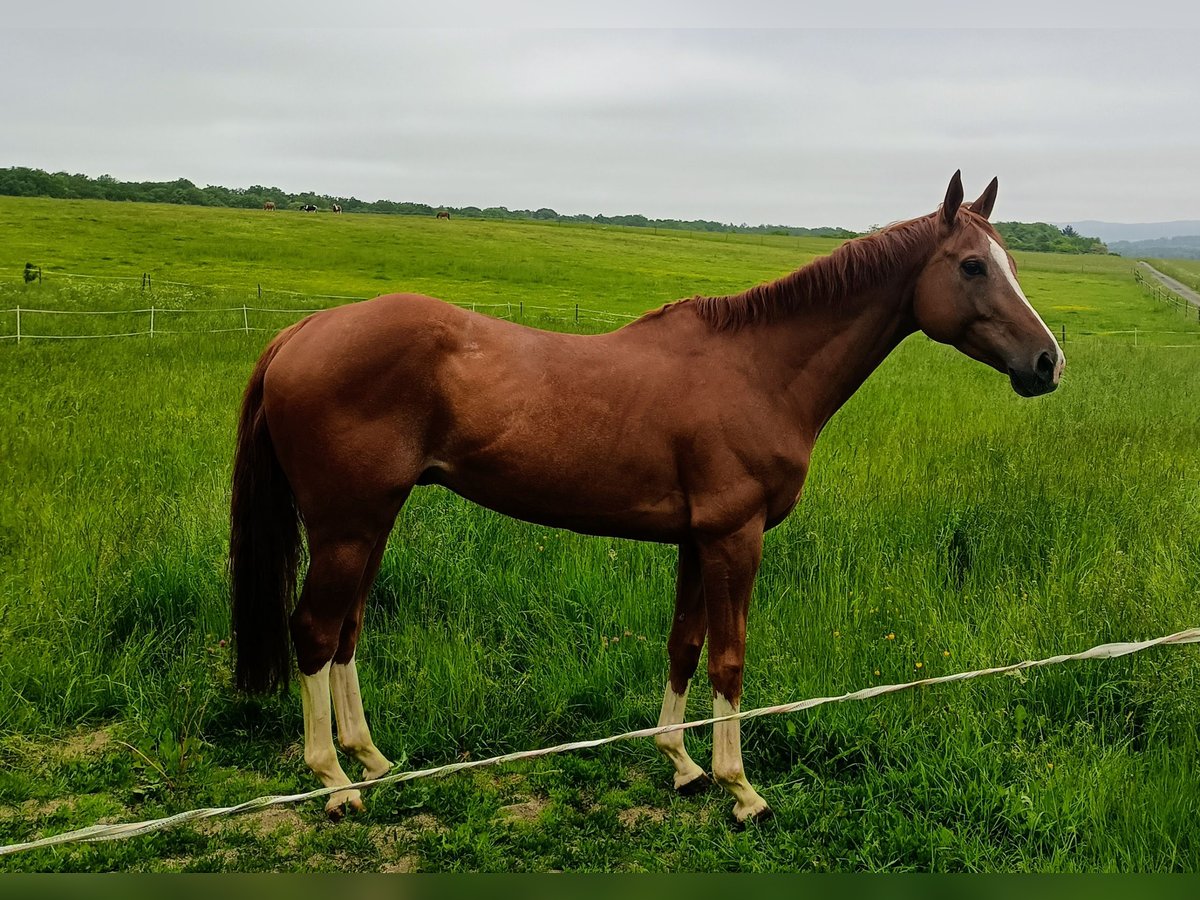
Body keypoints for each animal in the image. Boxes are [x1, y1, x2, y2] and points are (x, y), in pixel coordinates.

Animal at [229, 172, 1063, 824]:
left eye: (1011, 262)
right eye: (971, 266)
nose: (1047, 362)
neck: (758, 369)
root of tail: (302, 332)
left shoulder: (697, 539)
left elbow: (683, 645)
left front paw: (682, 764)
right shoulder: (735, 537)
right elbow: (729, 658)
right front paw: (740, 789)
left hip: (372, 520)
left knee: (347, 630)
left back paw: (370, 758)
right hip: (346, 525)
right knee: (314, 631)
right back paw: (334, 782)